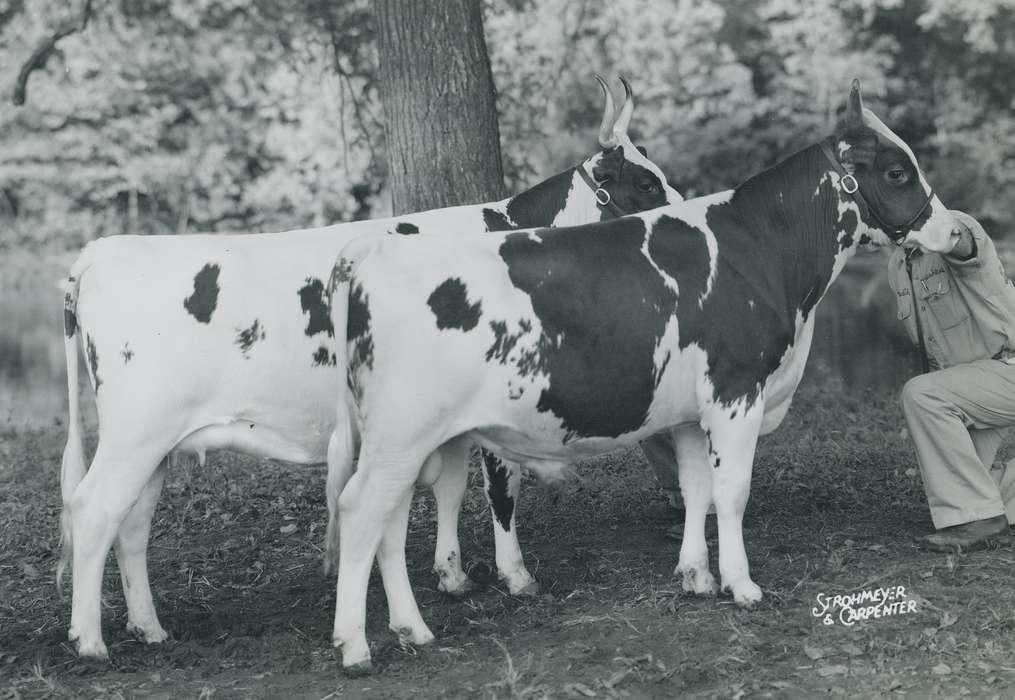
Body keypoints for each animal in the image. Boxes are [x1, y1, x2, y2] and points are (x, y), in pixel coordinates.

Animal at [58, 76, 681, 659]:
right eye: (645, 183)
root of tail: (100, 252)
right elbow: (500, 486)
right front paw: (515, 575)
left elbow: (449, 485)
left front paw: (451, 573)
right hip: (136, 433)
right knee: (92, 510)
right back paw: (90, 641)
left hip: (156, 443)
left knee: (131, 522)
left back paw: (149, 627)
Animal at [324, 81, 962, 673]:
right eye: (897, 171)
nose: (954, 231)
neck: (761, 252)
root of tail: (367, 254)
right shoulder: (736, 390)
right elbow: (732, 491)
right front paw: (741, 585)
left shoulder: (688, 411)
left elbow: (695, 488)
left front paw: (696, 575)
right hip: (401, 433)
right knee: (361, 511)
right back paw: (355, 645)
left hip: (406, 440)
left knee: (390, 519)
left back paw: (413, 629)